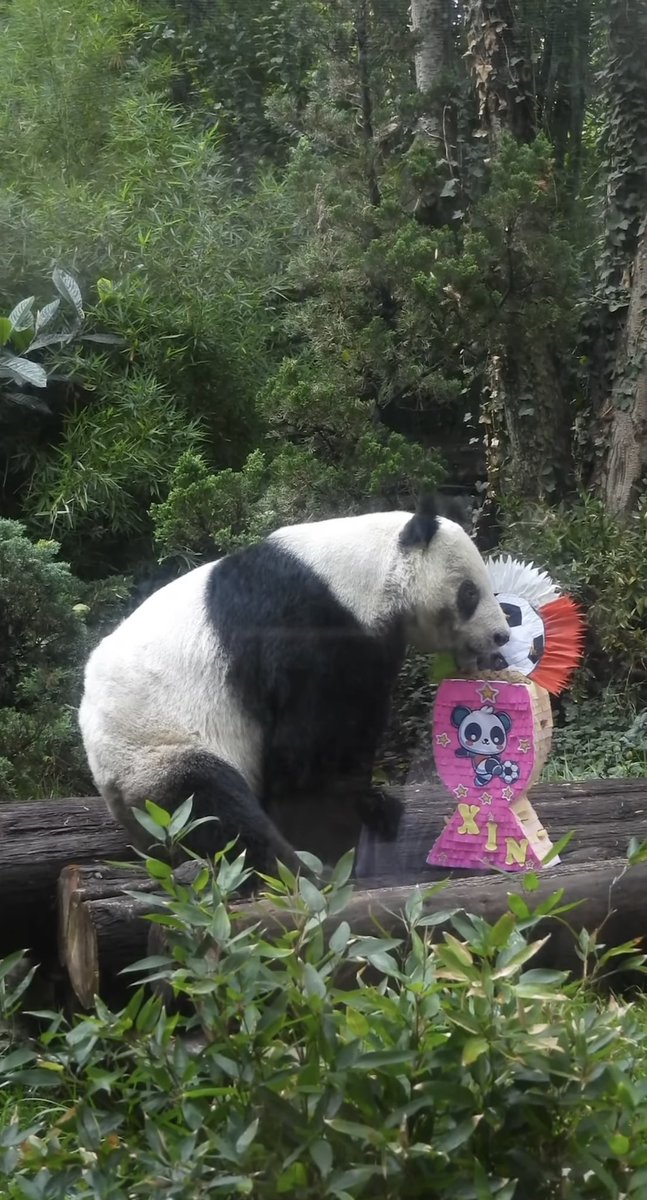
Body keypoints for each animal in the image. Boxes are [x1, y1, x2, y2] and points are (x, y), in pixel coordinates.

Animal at [78, 500, 510, 878]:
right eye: (470, 593)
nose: (501, 636)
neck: (363, 570)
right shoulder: (304, 623)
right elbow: (309, 745)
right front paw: (326, 833)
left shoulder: (371, 647)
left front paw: (371, 807)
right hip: (152, 749)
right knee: (207, 804)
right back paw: (291, 870)